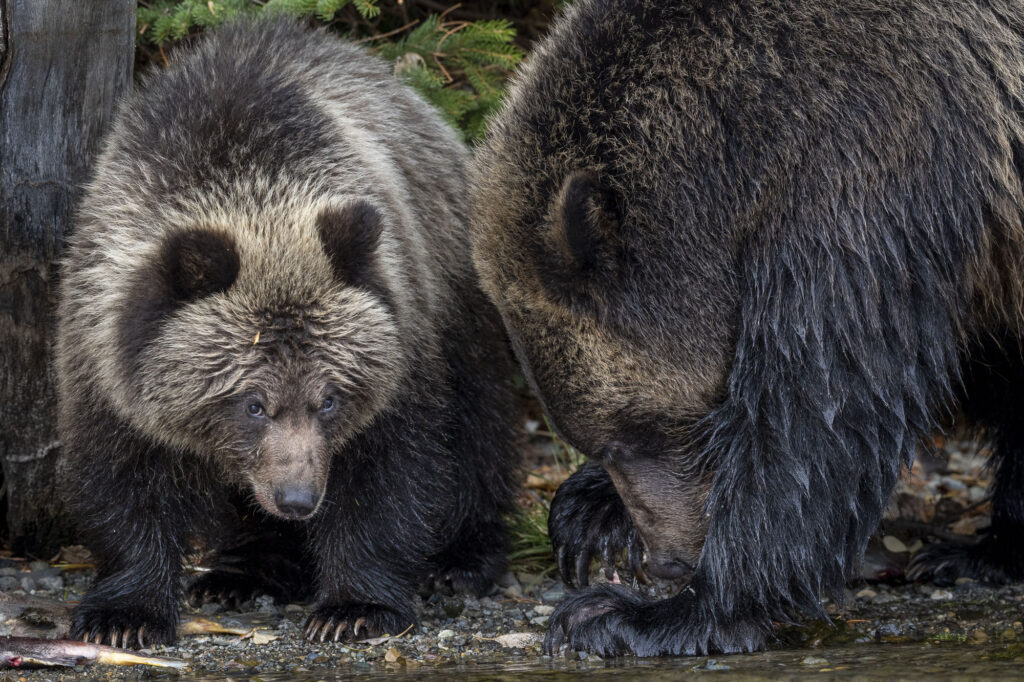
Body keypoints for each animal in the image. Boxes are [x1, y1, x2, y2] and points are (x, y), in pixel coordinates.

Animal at [56, 16, 519, 649]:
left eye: (330, 399)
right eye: (252, 403)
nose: (297, 498)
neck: (252, 189)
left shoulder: (400, 348)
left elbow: (386, 473)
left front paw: (354, 606)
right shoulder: (105, 361)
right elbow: (123, 480)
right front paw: (124, 615)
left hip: (456, 287)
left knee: (478, 420)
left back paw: (460, 559)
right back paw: (245, 571)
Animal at [470, 0, 1024, 657]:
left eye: (625, 436)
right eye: (596, 443)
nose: (667, 560)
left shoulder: (867, 173)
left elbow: (819, 409)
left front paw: (642, 613)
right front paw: (589, 516)